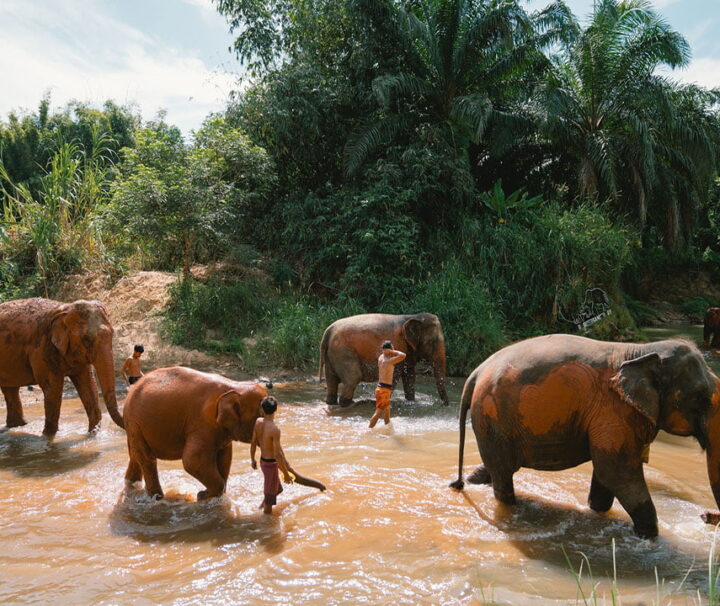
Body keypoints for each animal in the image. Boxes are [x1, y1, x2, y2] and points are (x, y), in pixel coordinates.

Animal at [0, 298, 124, 436]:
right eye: (86, 339)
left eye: (112, 334)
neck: (64, 308)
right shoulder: (42, 348)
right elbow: (52, 388)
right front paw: (47, 436)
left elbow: (88, 384)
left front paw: (94, 433)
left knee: (10, 389)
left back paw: (17, 426)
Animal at [123, 366, 326, 500]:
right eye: (260, 419)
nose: (324, 489)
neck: (234, 386)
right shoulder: (201, 423)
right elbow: (192, 460)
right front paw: (203, 496)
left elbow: (225, 458)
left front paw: (211, 496)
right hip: (134, 421)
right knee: (147, 459)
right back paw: (157, 498)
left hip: (134, 425)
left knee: (135, 455)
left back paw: (132, 486)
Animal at [318, 313, 450, 407]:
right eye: (432, 342)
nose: (445, 405)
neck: (413, 316)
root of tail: (328, 331)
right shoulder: (398, 346)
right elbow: (395, 375)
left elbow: (409, 376)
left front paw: (411, 402)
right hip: (343, 352)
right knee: (353, 378)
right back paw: (350, 404)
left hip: (332, 355)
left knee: (331, 380)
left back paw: (332, 402)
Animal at [449, 334, 720, 539]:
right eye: (701, 398)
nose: (705, 517)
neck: (641, 350)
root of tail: (475, 373)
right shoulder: (615, 411)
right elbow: (615, 470)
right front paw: (650, 537)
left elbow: (606, 474)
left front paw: (597, 513)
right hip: (494, 416)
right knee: (503, 476)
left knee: (493, 468)